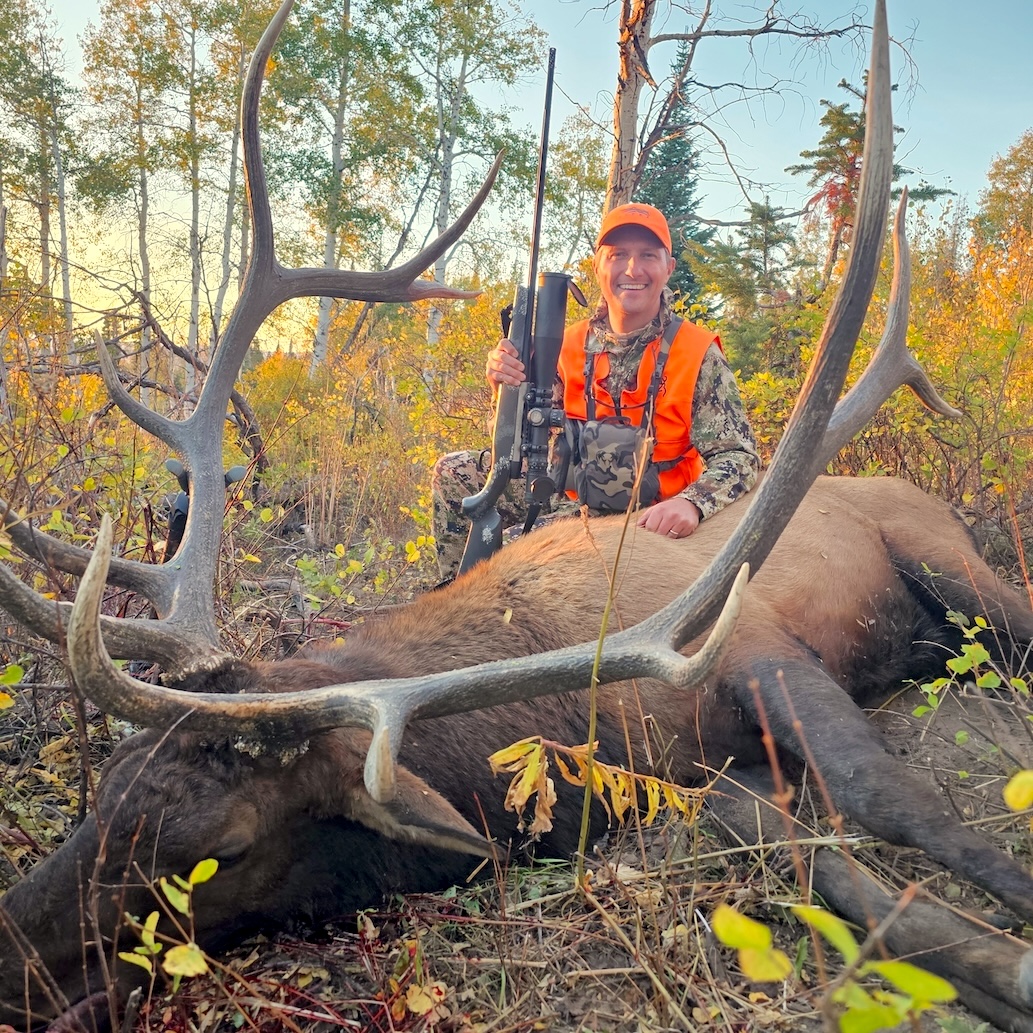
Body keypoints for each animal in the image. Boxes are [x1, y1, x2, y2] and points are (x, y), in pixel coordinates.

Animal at [2, 1, 1033, 1031]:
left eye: (215, 852)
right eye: (105, 794)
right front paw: (978, 961)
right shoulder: (702, 780)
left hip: (954, 561)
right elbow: (831, 872)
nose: (15, 956)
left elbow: (893, 798)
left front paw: (1015, 940)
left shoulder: (760, 650)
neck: (562, 694)